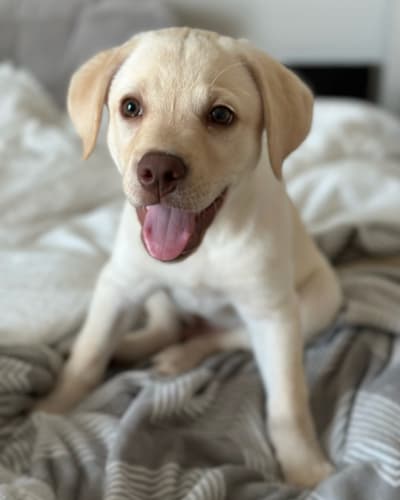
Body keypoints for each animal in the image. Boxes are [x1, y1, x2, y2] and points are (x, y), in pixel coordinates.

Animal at [37, 28, 342, 488]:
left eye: (220, 115)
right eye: (130, 107)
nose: (158, 171)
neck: (205, 247)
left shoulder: (273, 314)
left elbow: (287, 400)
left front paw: (304, 466)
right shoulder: (119, 284)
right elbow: (88, 356)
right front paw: (51, 408)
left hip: (318, 301)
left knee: (220, 338)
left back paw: (178, 357)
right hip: (153, 292)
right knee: (167, 324)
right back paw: (130, 346)